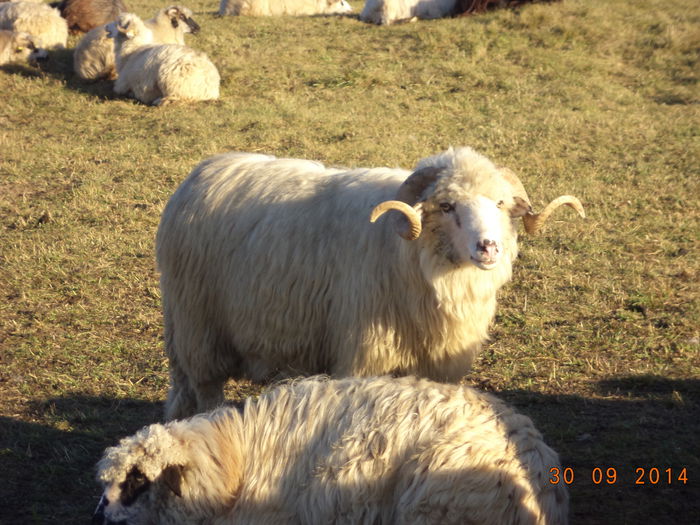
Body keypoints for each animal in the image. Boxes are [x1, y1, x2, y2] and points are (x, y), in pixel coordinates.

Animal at [156, 146, 584, 418]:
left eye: (500, 203)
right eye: (446, 206)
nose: (489, 247)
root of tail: (200, 174)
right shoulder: (365, 355)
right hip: (199, 326)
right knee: (207, 389)